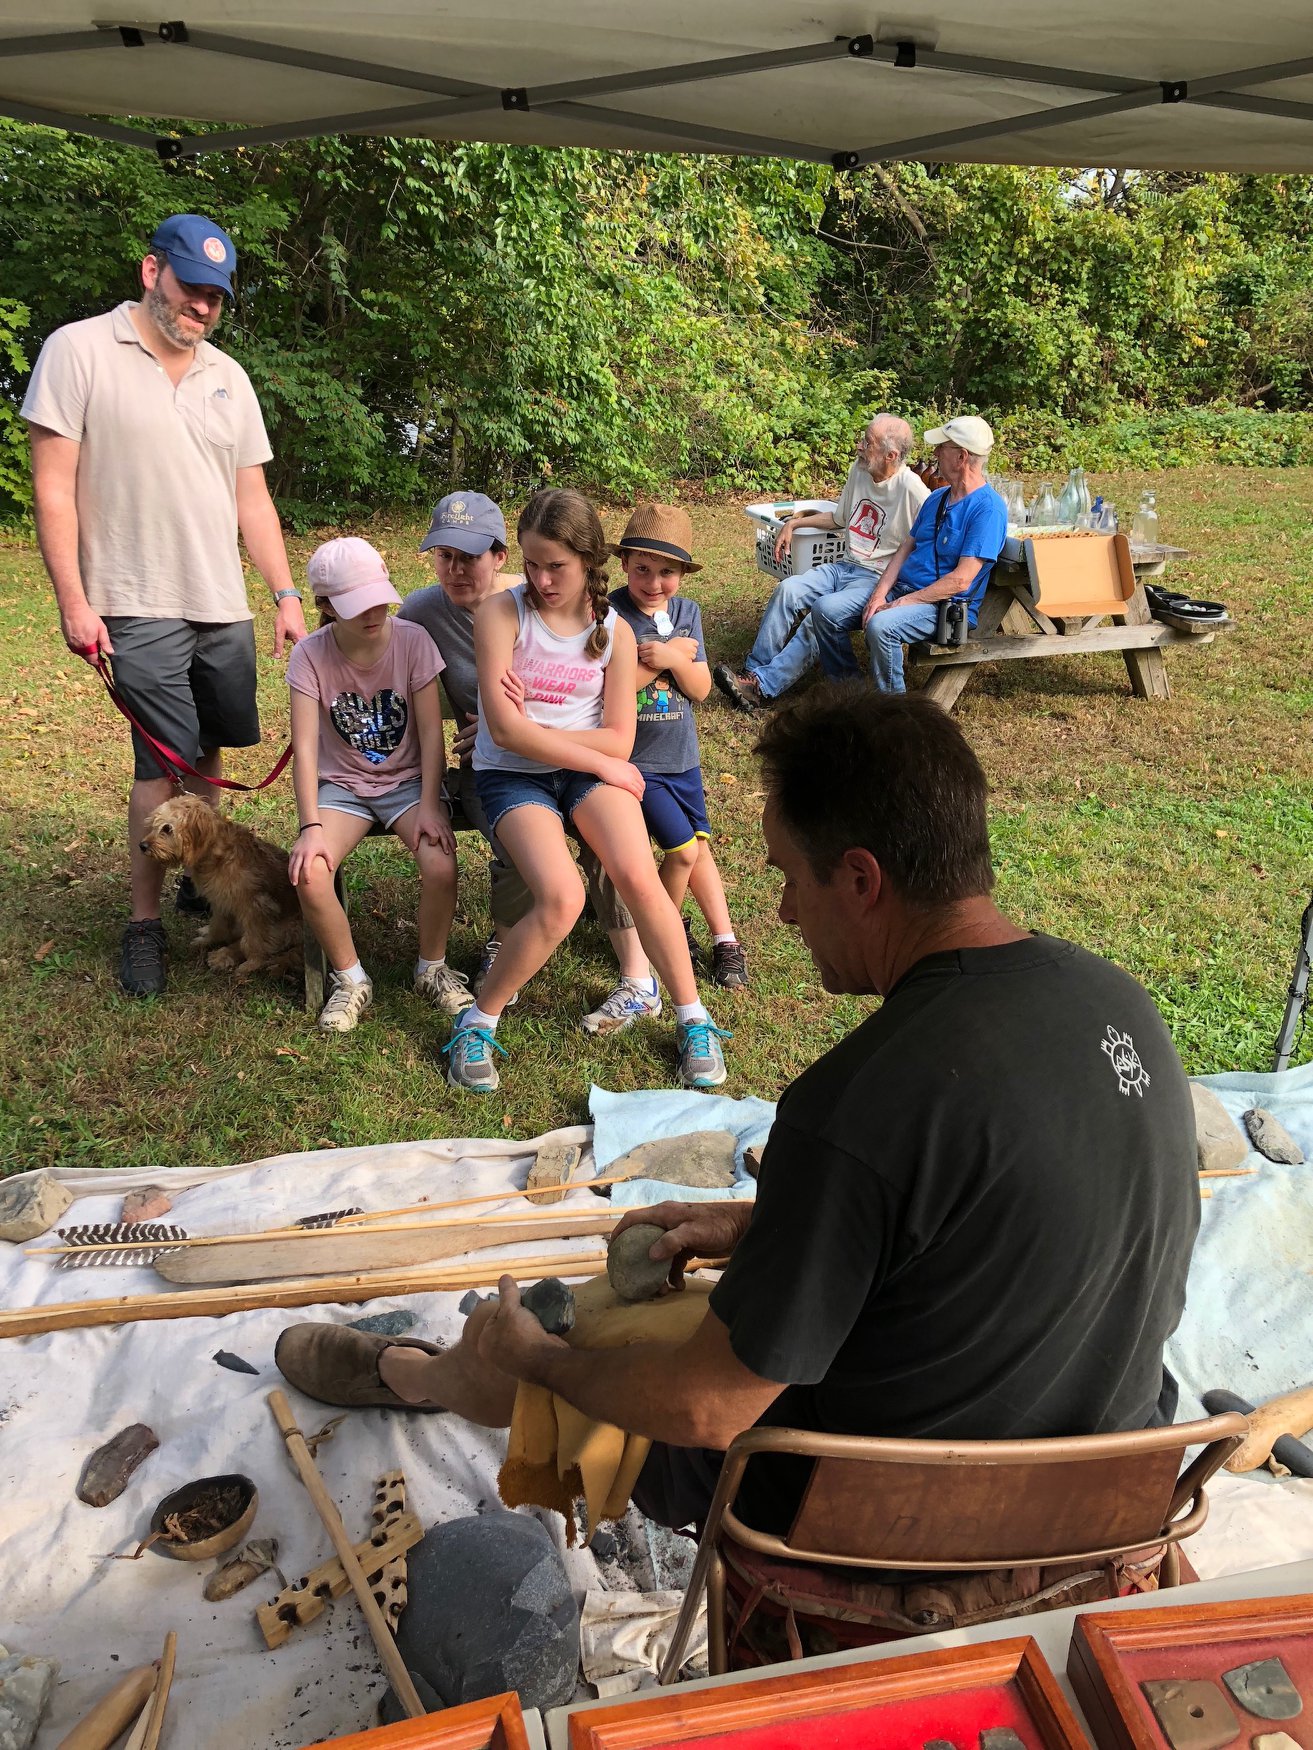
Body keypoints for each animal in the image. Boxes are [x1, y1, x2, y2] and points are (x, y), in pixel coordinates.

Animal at [139, 798, 302, 980]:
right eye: (154, 825)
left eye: (167, 828)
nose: (142, 846)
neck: (217, 853)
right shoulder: (221, 902)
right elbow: (218, 926)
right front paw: (208, 940)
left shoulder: (256, 909)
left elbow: (253, 941)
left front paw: (252, 963)